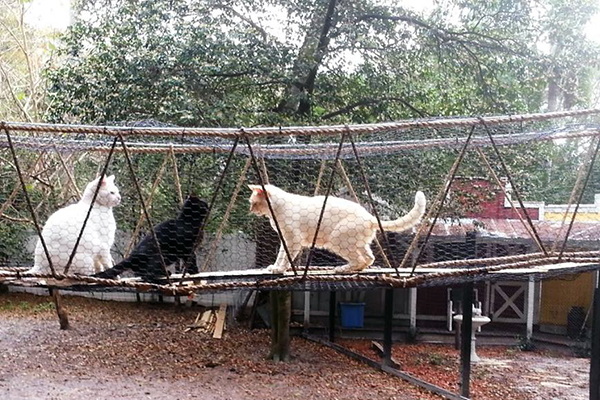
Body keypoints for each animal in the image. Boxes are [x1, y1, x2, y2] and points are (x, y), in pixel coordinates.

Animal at [248, 185, 426, 274]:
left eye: (253, 203)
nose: (250, 210)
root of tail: (369, 216)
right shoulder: (285, 239)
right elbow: (280, 256)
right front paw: (275, 267)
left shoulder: (293, 241)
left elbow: (286, 258)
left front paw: (279, 269)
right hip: (357, 243)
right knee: (369, 258)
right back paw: (351, 269)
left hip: (336, 240)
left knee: (360, 259)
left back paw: (342, 269)